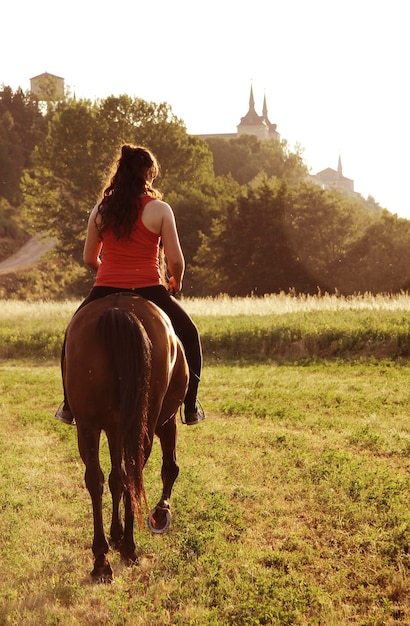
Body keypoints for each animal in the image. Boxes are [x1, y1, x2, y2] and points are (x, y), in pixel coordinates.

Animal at [63, 292, 188, 580]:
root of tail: (118, 310)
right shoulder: (165, 421)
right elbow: (169, 467)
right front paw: (161, 512)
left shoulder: (114, 428)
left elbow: (115, 478)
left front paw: (116, 533)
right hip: (145, 423)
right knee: (136, 472)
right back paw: (129, 549)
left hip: (88, 425)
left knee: (96, 479)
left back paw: (101, 559)